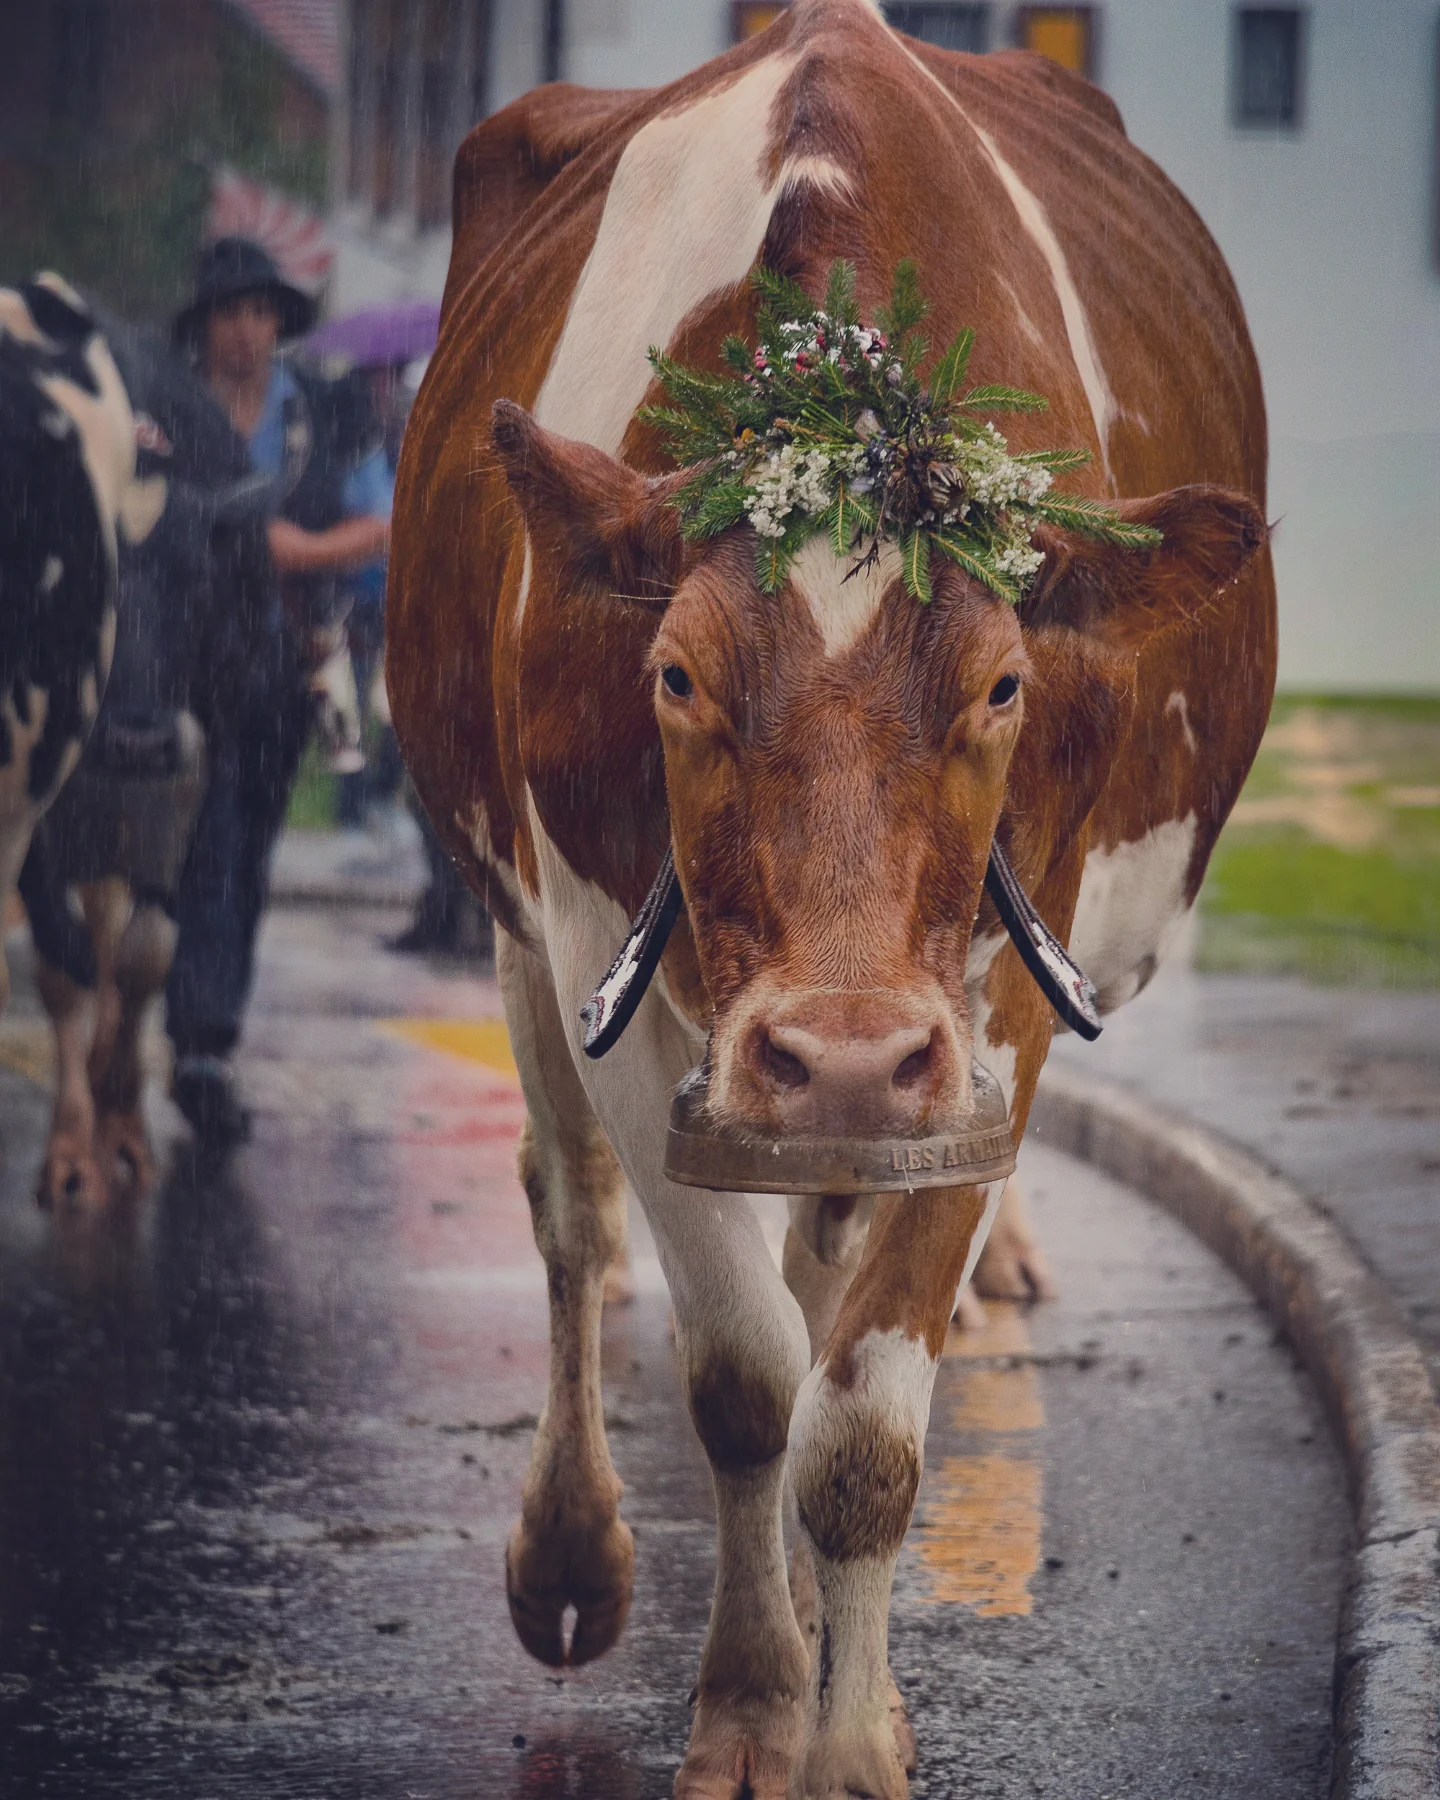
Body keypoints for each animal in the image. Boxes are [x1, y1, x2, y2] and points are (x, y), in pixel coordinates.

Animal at [20, 317, 274, 1204]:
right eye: (83, 579)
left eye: (200, 583)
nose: (135, 739)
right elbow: (65, 966)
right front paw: (71, 1148)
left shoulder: (222, 768)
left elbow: (148, 955)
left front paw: (122, 1122)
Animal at [387, 2, 1275, 1792]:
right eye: (672, 676)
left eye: (1005, 684)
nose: (849, 1049)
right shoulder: (604, 956)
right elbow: (743, 1380)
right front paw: (749, 1705)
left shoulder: (993, 1012)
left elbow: (855, 1422)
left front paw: (848, 1737)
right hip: (527, 943)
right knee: (572, 1220)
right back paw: (579, 1560)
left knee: (815, 1278)